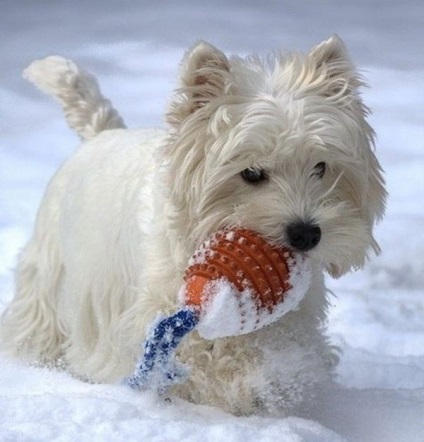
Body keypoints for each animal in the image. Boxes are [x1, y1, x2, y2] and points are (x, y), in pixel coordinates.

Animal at [0, 36, 384, 416]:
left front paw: (278, 379)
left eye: (321, 167)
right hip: (50, 275)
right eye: (251, 173)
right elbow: (198, 354)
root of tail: (101, 133)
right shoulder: (160, 309)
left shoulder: (294, 314)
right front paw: (240, 384)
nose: (306, 234)